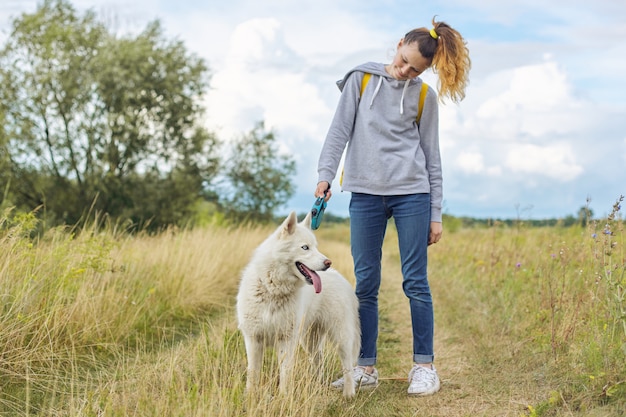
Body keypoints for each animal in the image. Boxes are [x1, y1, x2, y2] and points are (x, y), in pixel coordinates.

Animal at [236, 211, 358, 396]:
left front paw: (283, 396)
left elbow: (285, 372)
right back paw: (317, 385)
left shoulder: (286, 340)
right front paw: (250, 396)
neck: (273, 289)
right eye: (305, 247)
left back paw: (349, 393)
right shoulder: (253, 339)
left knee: (348, 365)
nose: (328, 262)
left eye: (315, 246)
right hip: (310, 340)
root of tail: (340, 277)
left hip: (340, 336)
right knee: (318, 360)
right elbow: (253, 372)